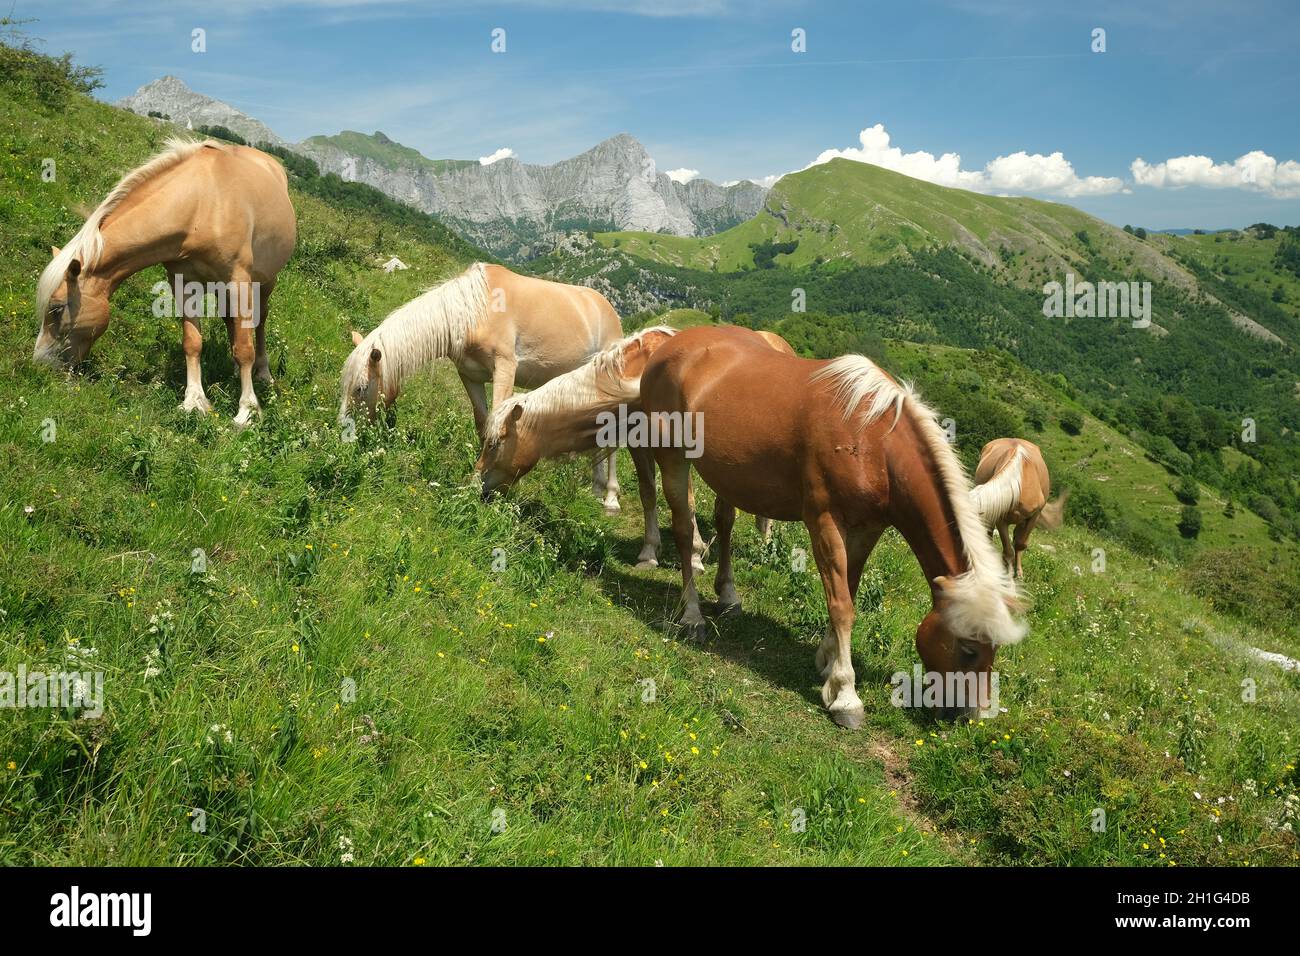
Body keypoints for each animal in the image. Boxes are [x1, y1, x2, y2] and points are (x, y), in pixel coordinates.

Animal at [32, 136, 297, 429]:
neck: (203, 204)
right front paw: (194, 401)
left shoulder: (238, 280)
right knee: (231, 321)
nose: (39, 364)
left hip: (264, 282)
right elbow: (192, 341)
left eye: (56, 309)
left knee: (259, 323)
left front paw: (247, 410)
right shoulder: (183, 282)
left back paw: (262, 372)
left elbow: (245, 347)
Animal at [340, 264, 624, 509]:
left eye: (361, 389)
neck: (474, 311)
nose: (344, 436)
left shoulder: (505, 368)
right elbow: (483, 422)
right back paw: (595, 486)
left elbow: (499, 421)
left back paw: (610, 498)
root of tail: (608, 310)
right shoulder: (470, 376)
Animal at [637, 325, 1024, 728]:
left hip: (725, 474)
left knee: (724, 524)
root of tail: (672, 343)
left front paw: (826, 661)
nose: (972, 715)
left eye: (994, 648)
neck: (875, 440)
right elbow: (841, 605)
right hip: (673, 459)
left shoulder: (868, 529)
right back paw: (691, 615)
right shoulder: (824, 522)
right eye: (968, 649)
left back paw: (728, 596)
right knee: (684, 530)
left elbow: (847, 590)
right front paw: (845, 694)